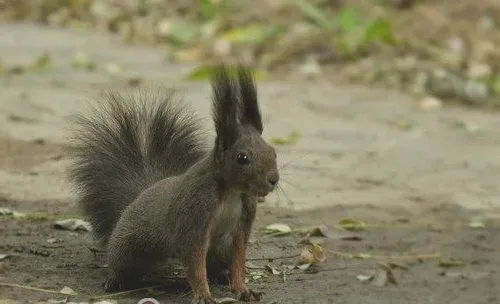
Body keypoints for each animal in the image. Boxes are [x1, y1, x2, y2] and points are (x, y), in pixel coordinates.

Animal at [67, 65, 280, 302]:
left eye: (273, 152)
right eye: (242, 158)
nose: (273, 179)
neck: (231, 191)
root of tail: (140, 195)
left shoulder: (242, 224)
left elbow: (239, 259)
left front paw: (243, 289)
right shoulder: (194, 216)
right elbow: (195, 264)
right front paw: (203, 295)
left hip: (218, 250)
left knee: (216, 265)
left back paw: (222, 275)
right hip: (130, 245)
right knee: (120, 262)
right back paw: (115, 281)